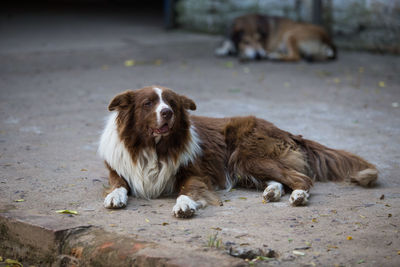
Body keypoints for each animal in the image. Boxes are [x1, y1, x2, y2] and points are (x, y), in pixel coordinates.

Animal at [98, 87, 376, 219]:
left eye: (172, 103)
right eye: (148, 104)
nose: (167, 112)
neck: (152, 147)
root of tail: (285, 131)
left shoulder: (195, 173)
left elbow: (188, 190)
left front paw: (185, 205)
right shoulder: (118, 169)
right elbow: (118, 185)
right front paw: (114, 197)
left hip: (244, 157)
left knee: (302, 178)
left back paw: (298, 196)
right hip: (244, 164)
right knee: (283, 178)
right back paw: (273, 191)